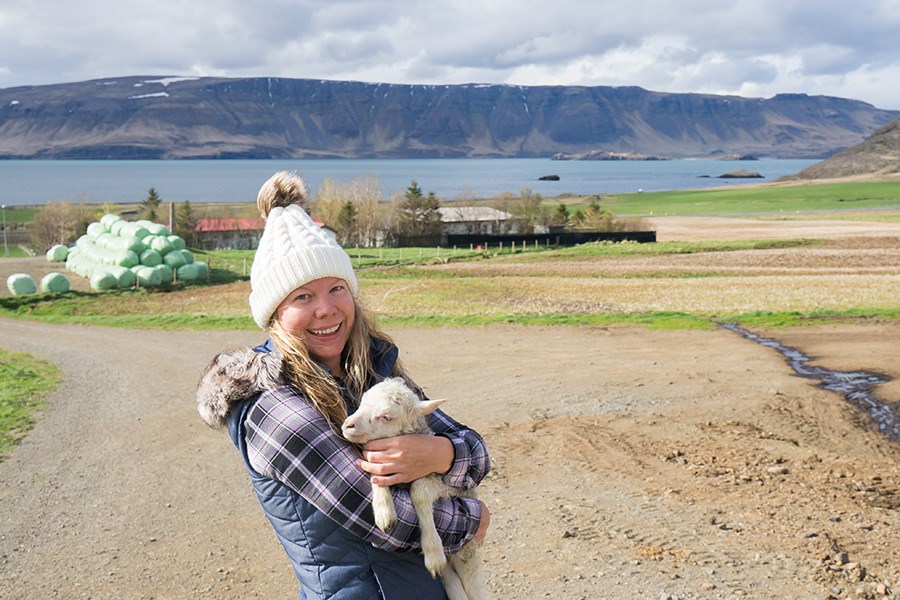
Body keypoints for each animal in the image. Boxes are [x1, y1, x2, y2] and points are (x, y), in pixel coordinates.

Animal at [342, 378, 486, 600]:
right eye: (362, 401)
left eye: (386, 416)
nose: (347, 425)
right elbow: (376, 475)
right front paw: (384, 514)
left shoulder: (446, 484)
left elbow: (418, 491)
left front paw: (432, 551)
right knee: (453, 584)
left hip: (467, 556)